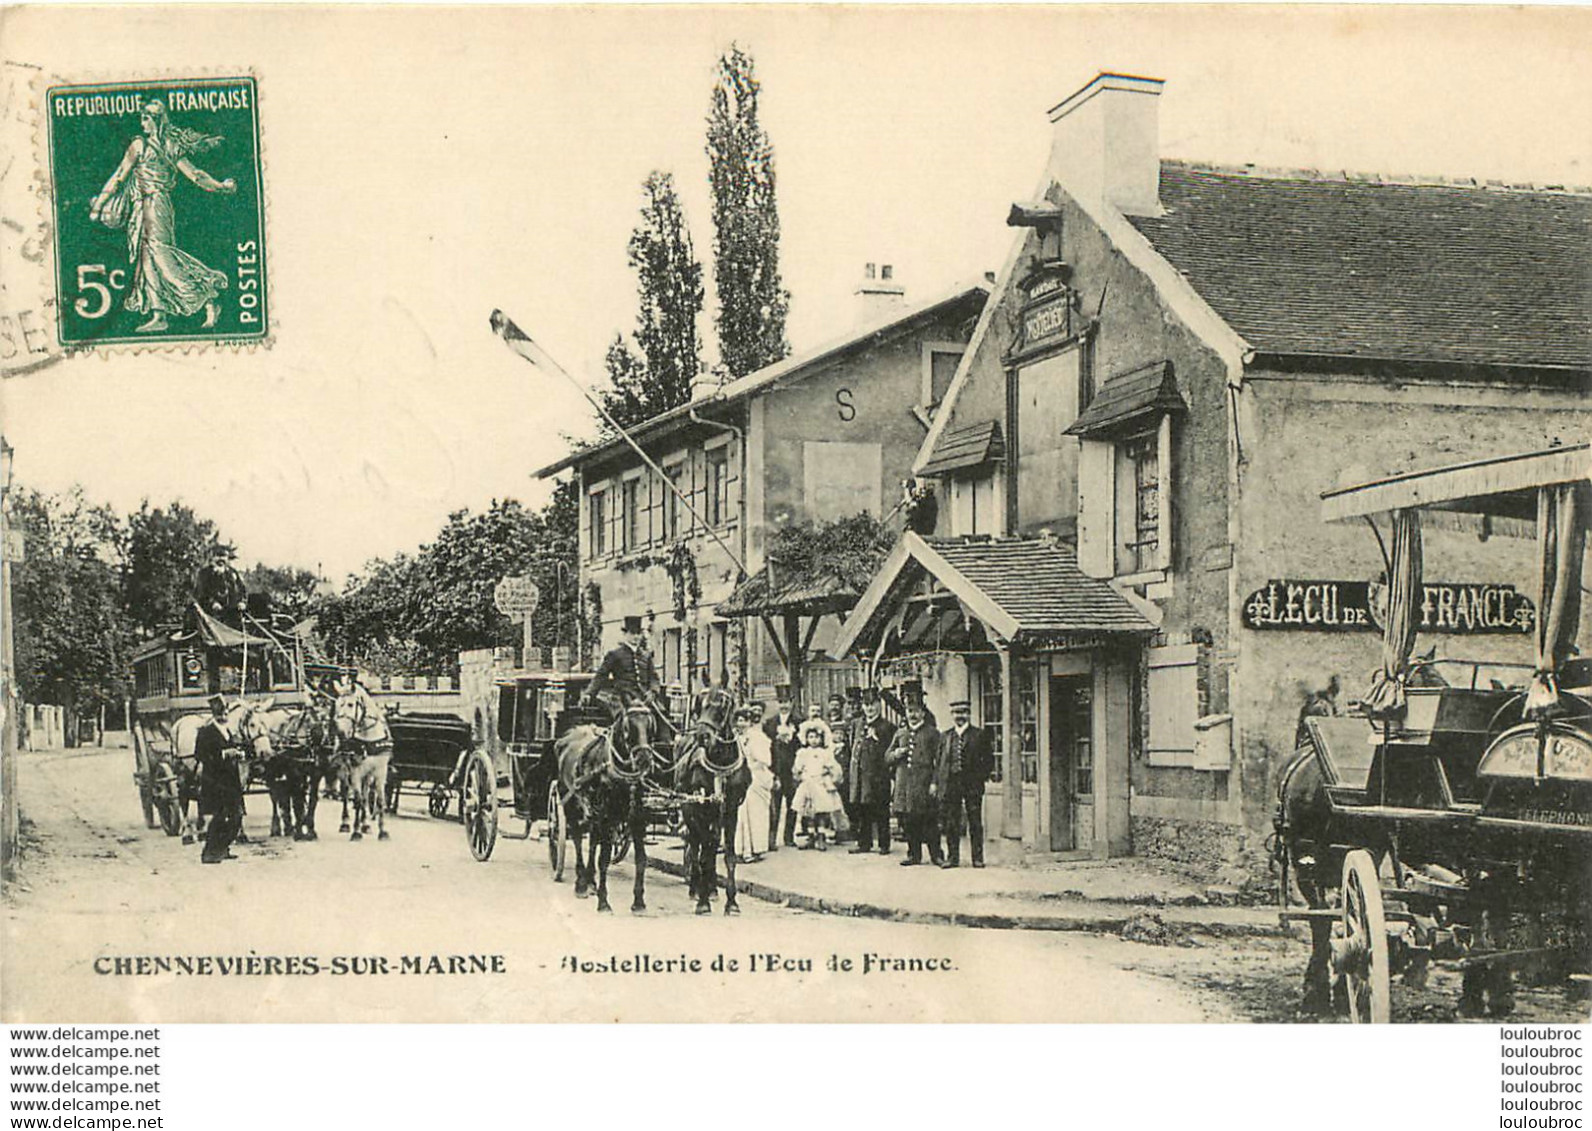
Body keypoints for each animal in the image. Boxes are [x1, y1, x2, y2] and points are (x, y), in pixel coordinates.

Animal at [334, 681, 393, 841]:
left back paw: (365, 824)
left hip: (367, 774)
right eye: (337, 705)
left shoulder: (380, 771)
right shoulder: (355, 771)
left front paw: (383, 831)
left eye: (350, 704)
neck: (369, 737)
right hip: (344, 769)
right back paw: (345, 823)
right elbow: (358, 800)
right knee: (346, 793)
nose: (340, 733)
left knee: (366, 795)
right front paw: (356, 831)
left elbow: (380, 800)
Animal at [557, 704, 662, 917]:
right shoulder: (606, 818)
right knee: (578, 838)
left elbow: (641, 859)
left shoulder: (637, 820)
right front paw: (603, 902)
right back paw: (581, 883)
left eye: (650, 725)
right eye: (628, 727)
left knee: (592, 841)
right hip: (571, 804)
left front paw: (639, 903)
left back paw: (590, 881)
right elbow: (603, 859)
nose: (644, 759)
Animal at [668, 691, 748, 923]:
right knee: (695, 846)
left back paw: (711, 889)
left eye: (721, 707)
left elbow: (729, 856)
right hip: (689, 809)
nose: (702, 736)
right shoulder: (698, 808)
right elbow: (702, 856)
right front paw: (702, 902)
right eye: (699, 707)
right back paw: (696, 888)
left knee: (710, 845)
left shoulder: (731, 810)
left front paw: (732, 903)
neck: (720, 762)